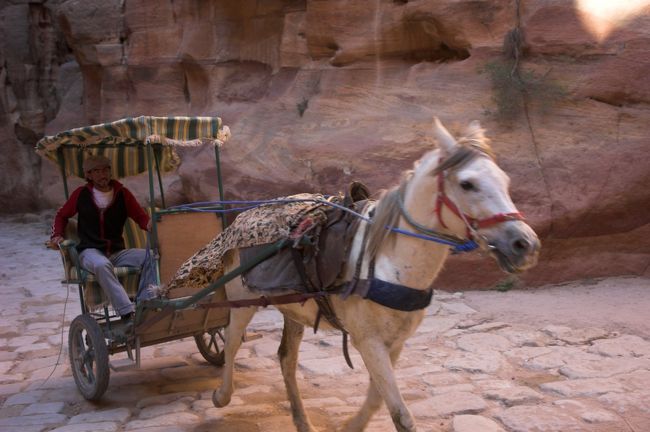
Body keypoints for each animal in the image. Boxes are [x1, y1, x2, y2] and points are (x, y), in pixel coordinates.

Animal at [212, 117, 540, 431]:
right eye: (467, 184)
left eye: (505, 180)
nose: (525, 244)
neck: (390, 263)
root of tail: (243, 216)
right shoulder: (368, 341)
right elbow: (401, 414)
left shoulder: (393, 343)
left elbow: (377, 399)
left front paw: (350, 426)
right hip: (242, 301)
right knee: (232, 341)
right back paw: (221, 395)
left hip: (294, 310)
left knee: (286, 360)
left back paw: (303, 422)